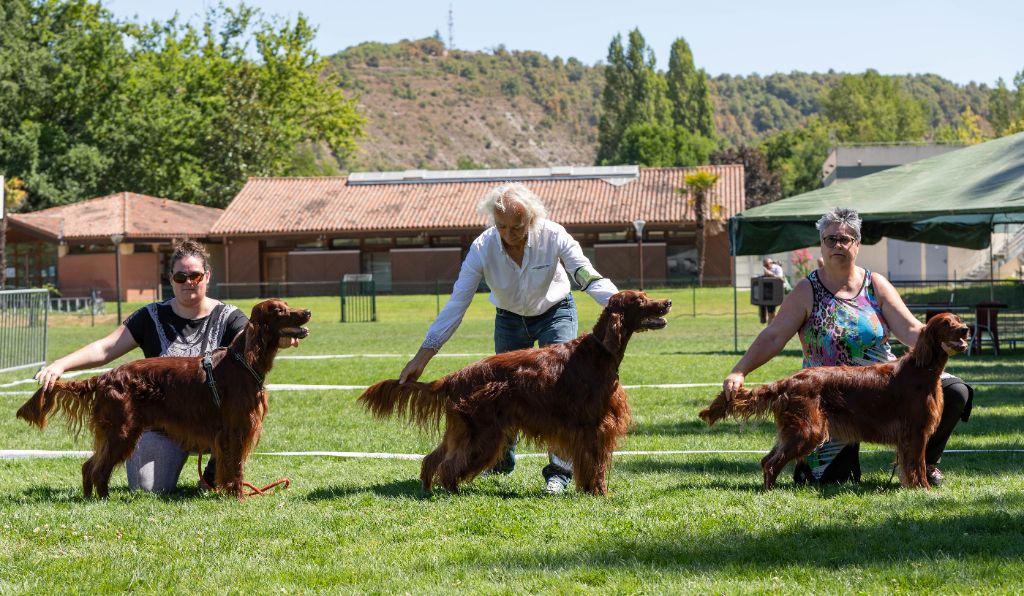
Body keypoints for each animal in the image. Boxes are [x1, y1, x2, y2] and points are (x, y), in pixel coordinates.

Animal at [16, 299, 309, 499]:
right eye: (278, 310)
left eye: (287, 306)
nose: (307, 312)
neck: (242, 361)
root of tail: (106, 376)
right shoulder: (235, 429)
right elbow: (235, 467)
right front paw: (237, 497)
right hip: (122, 430)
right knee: (97, 467)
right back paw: (103, 499)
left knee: (90, 465)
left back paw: (94, 497)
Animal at [360, 292, 671, 497]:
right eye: (639, 300)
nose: (667, 303)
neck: (601, 351)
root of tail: (456, 376)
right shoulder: (596, 426)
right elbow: (597, 464)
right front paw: (600, 492)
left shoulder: (586, 430)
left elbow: (587, 464)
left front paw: (587, 490)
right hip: (483, 433)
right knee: (450, 464)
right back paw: (451, 490)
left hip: (465, 430)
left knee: (434, 458)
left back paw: (428, 488)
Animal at [700, 313, 970, 491]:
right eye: (947, 323)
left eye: (958, 320)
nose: (966, 329)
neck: (922, 369)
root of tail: (787, 381)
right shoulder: (915, 431)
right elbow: (917, 465)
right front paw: (923, 489)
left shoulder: (911, 435)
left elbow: (913, 465)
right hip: (809, 430)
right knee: (773, 463)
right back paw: (771, 492)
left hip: (797, 430)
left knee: (767, 459)